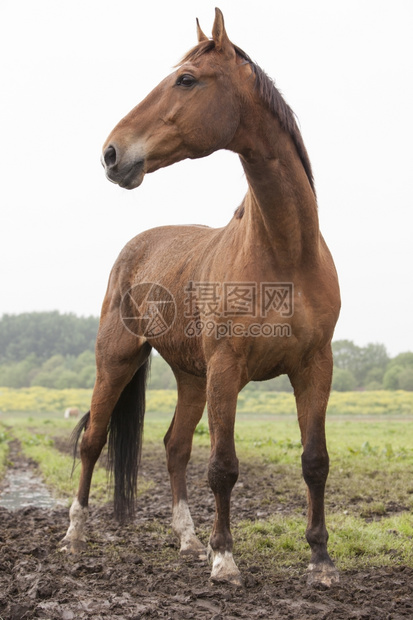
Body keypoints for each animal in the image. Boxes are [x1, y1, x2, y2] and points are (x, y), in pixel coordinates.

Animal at [60, 9, 338, 588]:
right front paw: (225, 560)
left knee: (174, 446)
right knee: (93, 440)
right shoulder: (227, 370)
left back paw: (187, 539)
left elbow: (314, 461)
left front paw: (321, 561)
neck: (285, 253)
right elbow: (224, 466)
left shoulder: (315, 366)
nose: (111, 153)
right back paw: (74, 536)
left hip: (190, 377)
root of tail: (136, 245)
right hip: (116, 361)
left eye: (186, 80)